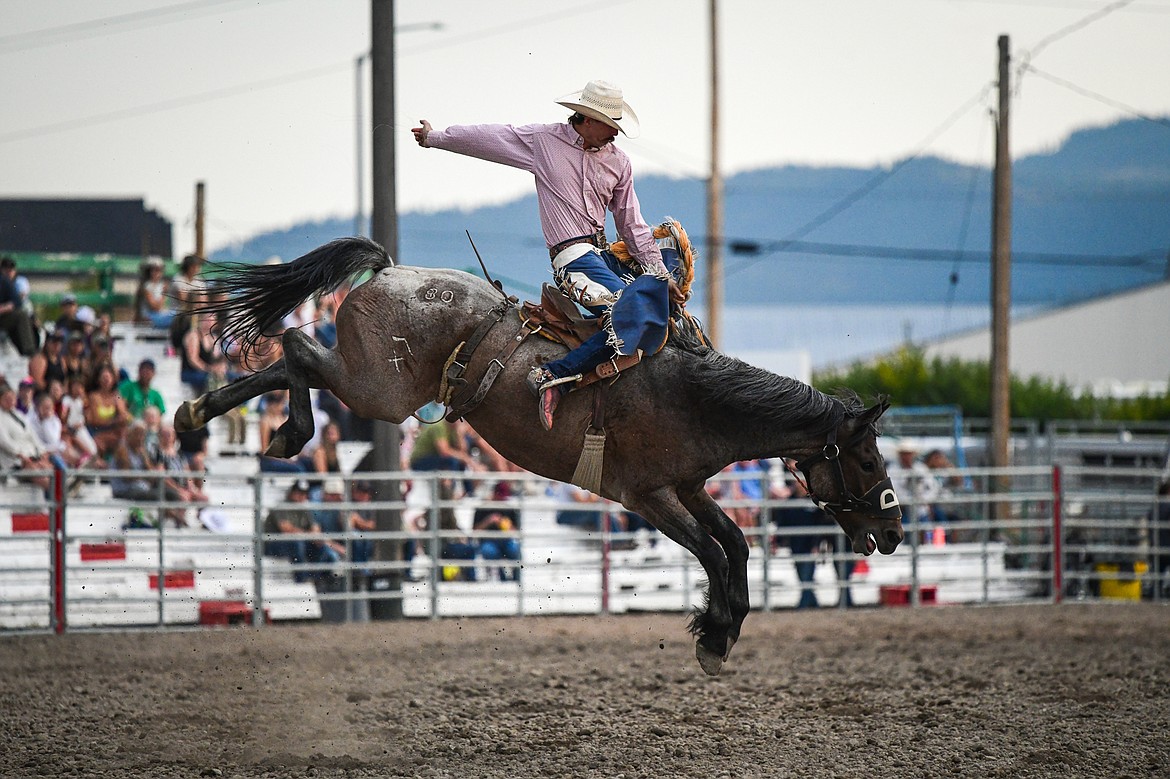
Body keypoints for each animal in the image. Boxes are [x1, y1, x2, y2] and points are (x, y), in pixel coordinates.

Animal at [175, 238, 903, 673]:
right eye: (869, 462)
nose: (894, 531)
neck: (691, 395)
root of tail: (388, 268)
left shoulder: (691, 487)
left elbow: (737, 546)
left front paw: (721, 631)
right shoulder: (650, 497)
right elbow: (712, 551)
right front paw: (714, 631)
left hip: (369, 382)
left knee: (290, 358)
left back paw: (205, 414)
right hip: (376, 389)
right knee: (297, 349)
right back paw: (277, 429)